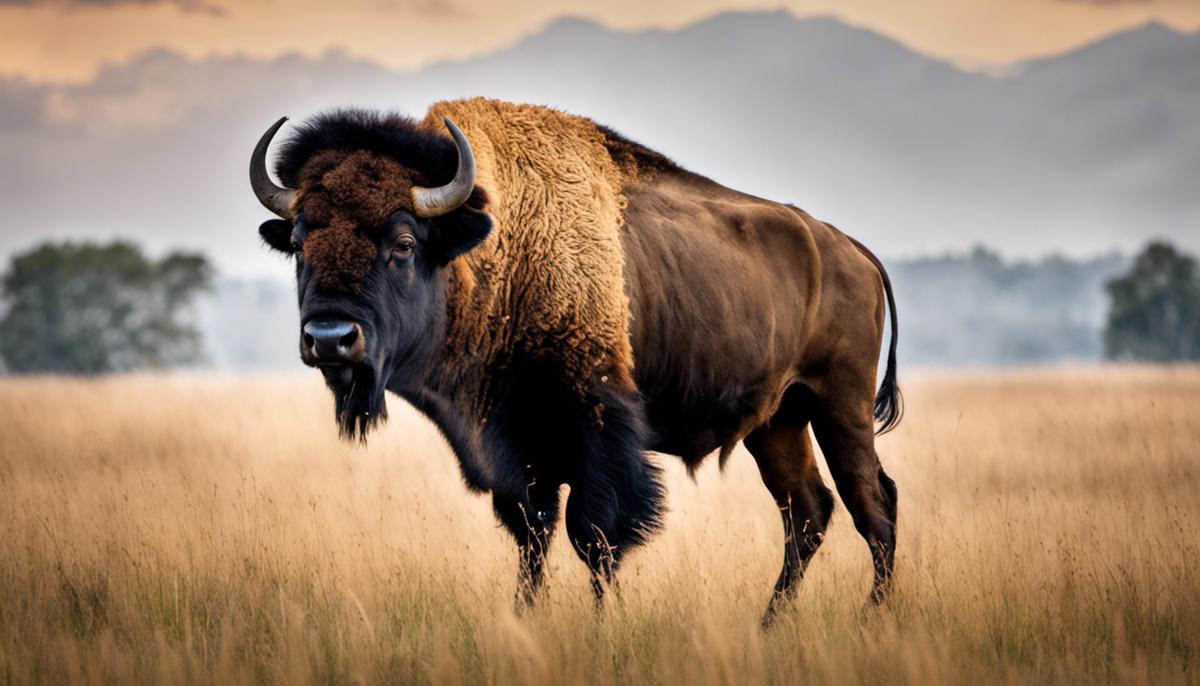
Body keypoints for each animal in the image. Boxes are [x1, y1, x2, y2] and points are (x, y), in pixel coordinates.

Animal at [250, 97, 902, 623]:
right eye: (300, 242)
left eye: (404, 243)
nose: (330, 337)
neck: (497, 251)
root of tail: (851, 248)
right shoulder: (515, 452)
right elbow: (532, 538)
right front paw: (525, 619)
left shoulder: (598, 433)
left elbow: (595, 536)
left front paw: (600, 625)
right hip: (777, 420)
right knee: (808, 510)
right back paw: (769, 625)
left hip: (837, 404)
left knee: (872, 502)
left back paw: (872, 618)